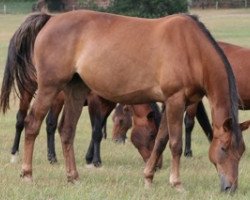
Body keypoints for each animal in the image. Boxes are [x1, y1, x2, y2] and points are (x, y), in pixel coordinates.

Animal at [0, 11, 248, 192]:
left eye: (242, 151)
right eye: (224, 148)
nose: (230, 188)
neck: (191, 48)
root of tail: (51, 18)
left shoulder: (173, 103)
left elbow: (161, 140)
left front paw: (148, 177)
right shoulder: (176, 100)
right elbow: (175, 143)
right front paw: (176, 183)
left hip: (75, 90)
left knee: (67, 130)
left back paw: (73, 177)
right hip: (49, 88)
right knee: (32, 124)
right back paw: (27, 173)